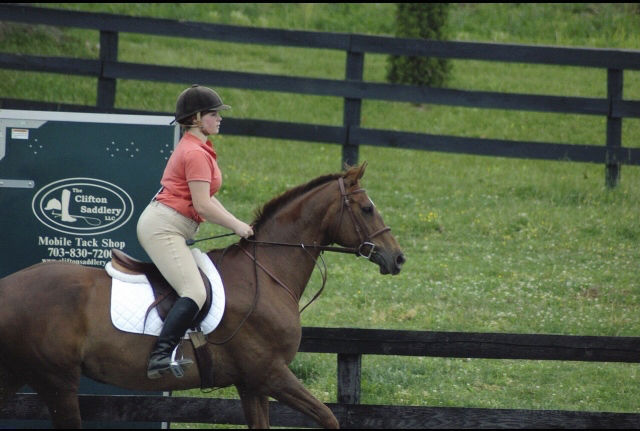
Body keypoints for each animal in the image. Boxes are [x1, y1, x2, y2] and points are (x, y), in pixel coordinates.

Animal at [0, 163, 405, 428]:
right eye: (367, 208)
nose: (397, 257)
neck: (266, 273)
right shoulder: (271, 372)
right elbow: (329, 417)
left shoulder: (252, 384)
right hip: (57, 381)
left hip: (20, 374)